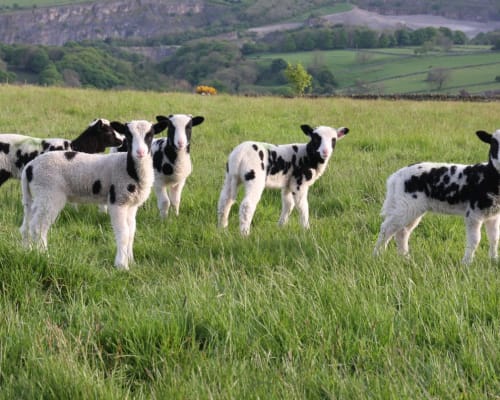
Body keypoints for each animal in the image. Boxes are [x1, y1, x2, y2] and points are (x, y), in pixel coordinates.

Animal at [20, 119, 168, 270]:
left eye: (150, 135)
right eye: (129, 135)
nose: (140, 152)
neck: (129, 169)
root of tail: (29, 167)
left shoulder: (131, 205)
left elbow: (131, 232)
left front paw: (131, 261)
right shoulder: (117, 200)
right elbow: (123, 234)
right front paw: (121, 265)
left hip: (39, 195)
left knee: (27, 225)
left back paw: (28, 251)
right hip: (49, 193)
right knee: (38, 227)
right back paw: (44, 255)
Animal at [217, 124, 349, 235]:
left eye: (334, 140)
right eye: (316, 139)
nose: (325, 152)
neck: (308, 156)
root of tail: (239, 155)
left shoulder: (288, 184)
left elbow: (288, 204)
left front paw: (281, 226)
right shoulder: (298, 183)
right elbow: (302, 206)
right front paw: (306, 229)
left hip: (230, 177)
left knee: (224, 201)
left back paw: (222, 229)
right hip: (255, 179)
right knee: (247, 206)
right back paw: (245, 234)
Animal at [374, 129, 500, 265]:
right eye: (494, 143)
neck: (488, 176)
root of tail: (395, 177)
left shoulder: (493, 215)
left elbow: (494, 238)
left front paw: (494, 260)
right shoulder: (473, 214)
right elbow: (475, 240)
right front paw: (466, 263)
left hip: (411, 207)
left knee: (402, 232)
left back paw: (406, 258)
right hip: (406, 205)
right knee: (386, 228)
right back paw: (377, 256)